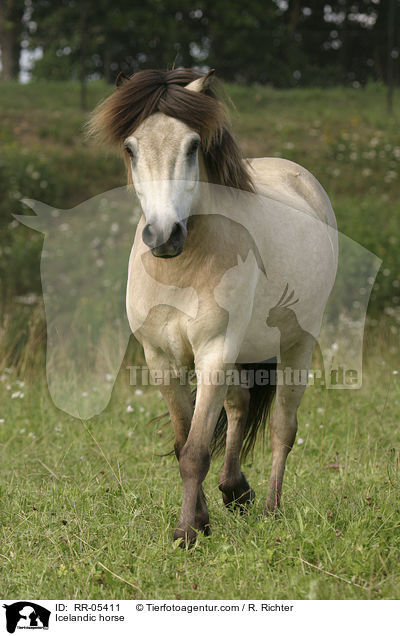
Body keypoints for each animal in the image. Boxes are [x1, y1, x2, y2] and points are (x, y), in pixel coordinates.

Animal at [88, 69, 338, 548]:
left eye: (192, 146)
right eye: (130, 147)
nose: (164, 235)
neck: (181, 270)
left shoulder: (213, 352)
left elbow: (196, 450)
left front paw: (187, 531)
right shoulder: (162, 360)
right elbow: (184, 441)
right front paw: (202, 519)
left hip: (296, 344)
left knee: (282, 428)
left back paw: (271, 509)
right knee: (240, 408)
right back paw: (234, 490)